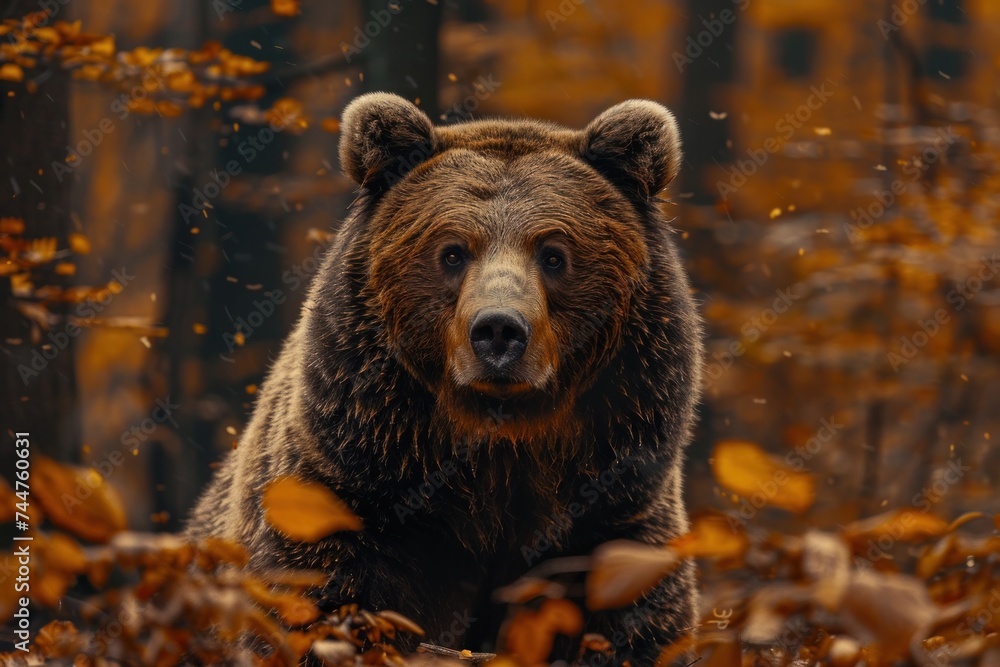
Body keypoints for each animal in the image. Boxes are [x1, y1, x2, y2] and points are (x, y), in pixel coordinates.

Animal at [186, 92, 704, 665]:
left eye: (553, 254)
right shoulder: (345, 495)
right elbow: (314, 610)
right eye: (452, 251)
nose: (498, 330)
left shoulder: (614, 519)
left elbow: (634, 626)